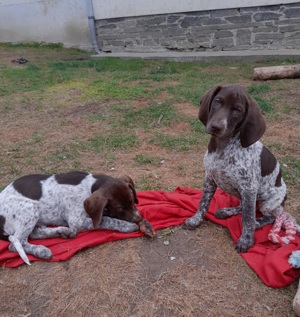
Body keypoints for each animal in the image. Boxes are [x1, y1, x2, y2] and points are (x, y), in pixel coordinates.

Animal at [0, 172, 155, 262]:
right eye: (120, 208)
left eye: (132, 200)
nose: (137, 219)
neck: (91, 185)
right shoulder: (78, 221)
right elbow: (106, 220)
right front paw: (128, 225)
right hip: (29, 208)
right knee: (15, 244)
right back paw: (41, 251)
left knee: (35, 233)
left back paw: (63, 232)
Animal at [184, 84, 288, 252]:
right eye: (217, 101)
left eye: (237, 110)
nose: (216, 127)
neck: (223, 147)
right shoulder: (209, 179)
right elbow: (203, 202)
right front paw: (196, 220)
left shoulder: (249, 188)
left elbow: (247, 218)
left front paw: (246, 240)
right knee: (244, 207)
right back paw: (227, 211)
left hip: (268, 202)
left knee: (271, 216)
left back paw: (258, 223)